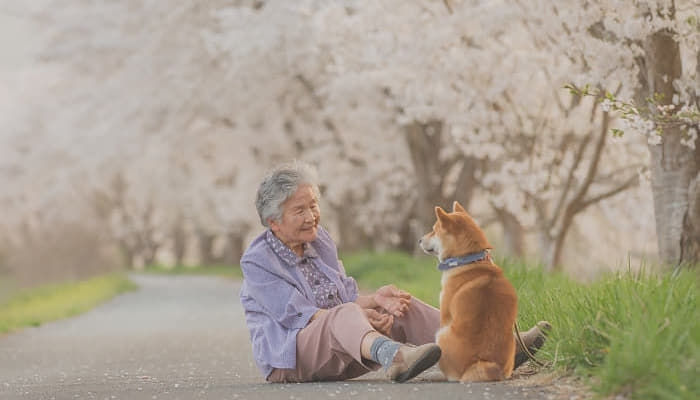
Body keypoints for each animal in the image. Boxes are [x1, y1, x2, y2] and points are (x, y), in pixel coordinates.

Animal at [418, 202, 516, 382]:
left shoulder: (445, 314)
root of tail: (485, 363)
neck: (469, 260)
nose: (419, 239)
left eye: (434, 230)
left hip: (441, 335)